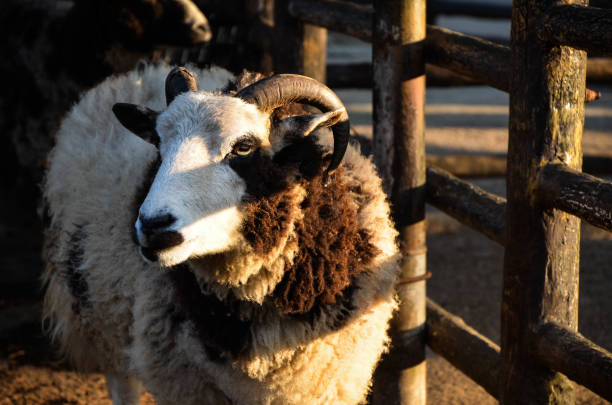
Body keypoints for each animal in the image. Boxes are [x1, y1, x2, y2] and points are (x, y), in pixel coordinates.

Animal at [41, 64, 396, 404]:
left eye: (243, 146)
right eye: (158, 144)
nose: (154, 227)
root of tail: (135, 74)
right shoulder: (185, 385)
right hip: (100, 319)